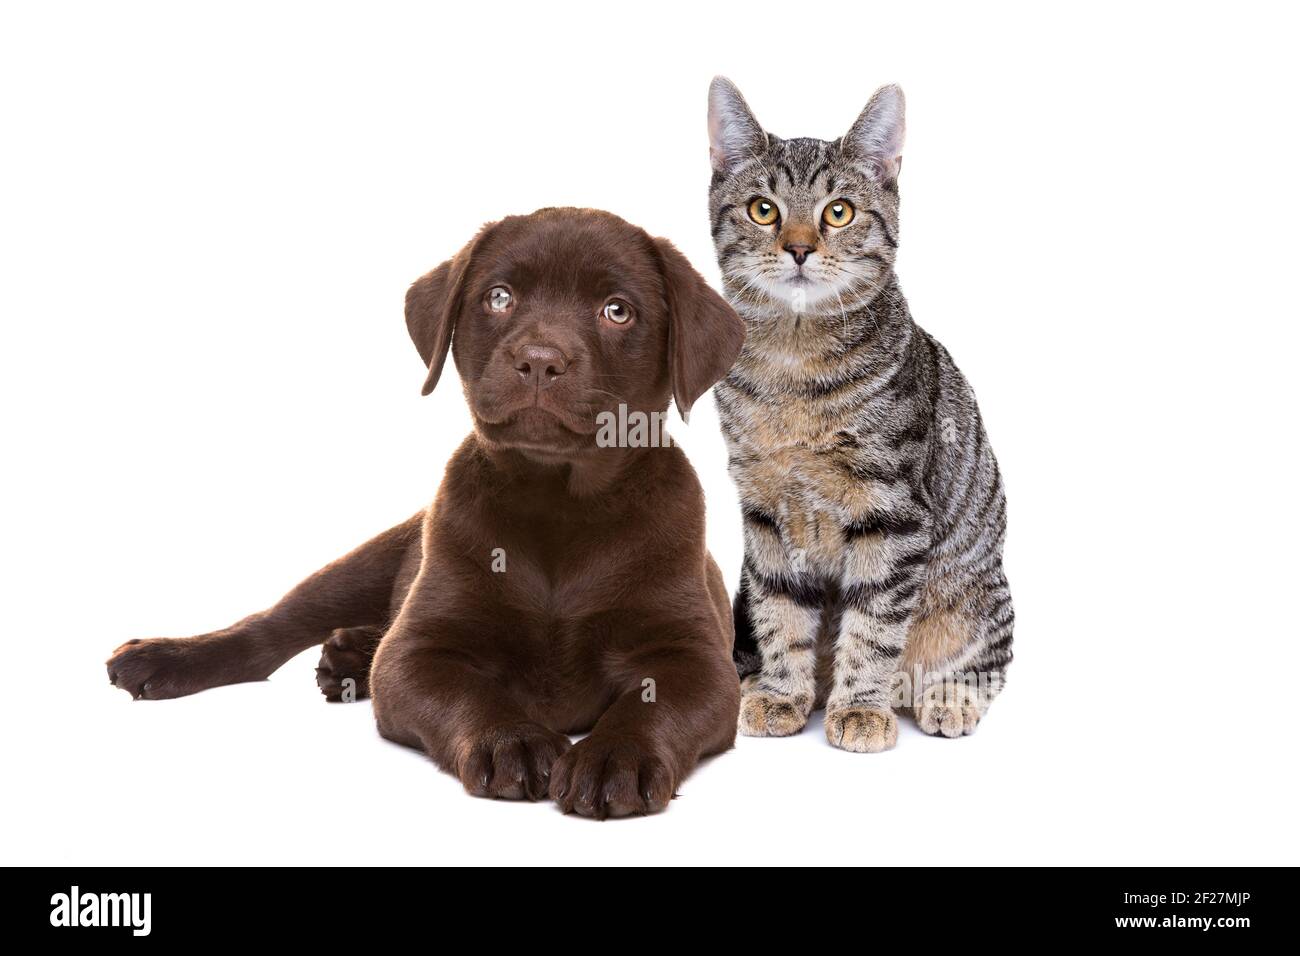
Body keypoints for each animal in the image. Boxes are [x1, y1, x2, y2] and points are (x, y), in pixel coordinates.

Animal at [104, 205, 743, 816]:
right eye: (499, 297)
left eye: (617, 311)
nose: (539, 360)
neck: (558, 502)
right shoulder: (415, 652)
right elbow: (466, 691)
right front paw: (513, 740)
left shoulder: (699, 661)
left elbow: (653, 704)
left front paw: (615, 757)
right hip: (365, 562)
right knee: (269, 630)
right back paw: (168, 657)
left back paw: (348, 654)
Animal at [707, 80, 1008, 754]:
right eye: (762, 210)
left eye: (839, 212)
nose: (798, 248)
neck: (794, 366)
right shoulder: (764, 510)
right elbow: (780, 611)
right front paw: (783, 693)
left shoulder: (892, 511)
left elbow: (874, 623)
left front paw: (862, 707)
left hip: (976, 595)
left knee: (986, 660)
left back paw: (941, 698)